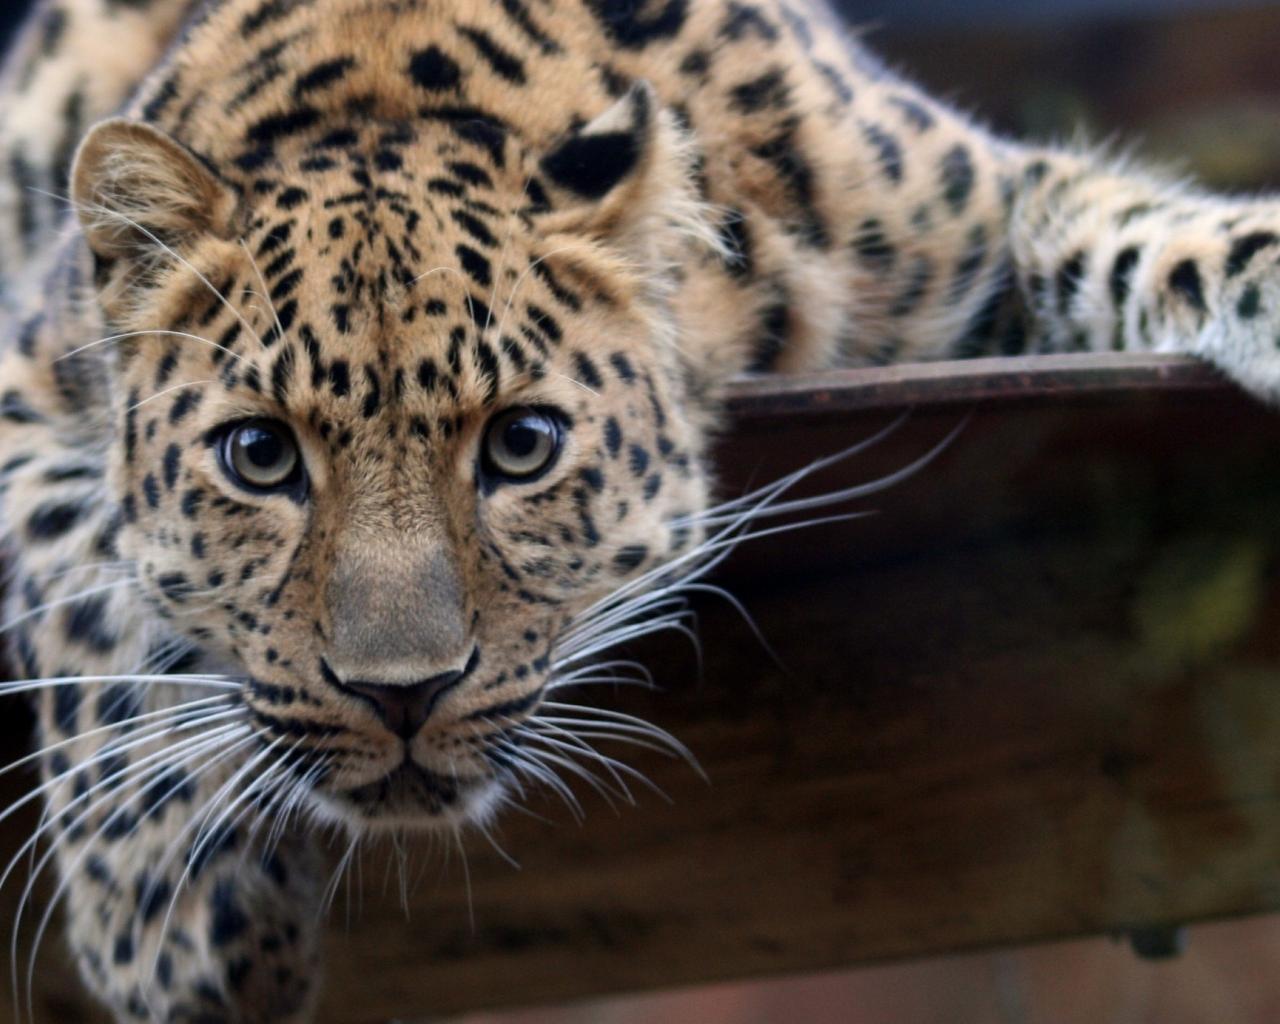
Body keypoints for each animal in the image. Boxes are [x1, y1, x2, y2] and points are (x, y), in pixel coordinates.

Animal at [0, 0, 1278, 1020]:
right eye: (260, 456)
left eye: (520, 444)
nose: (400, 694)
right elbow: (82, 579)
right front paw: (170, 915)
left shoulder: (977, 208)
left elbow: (1143, 232)